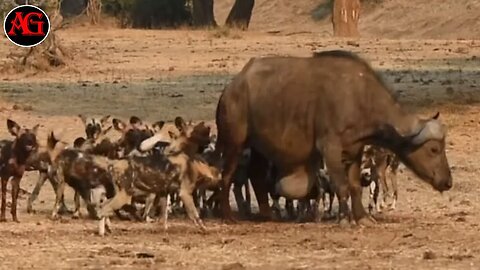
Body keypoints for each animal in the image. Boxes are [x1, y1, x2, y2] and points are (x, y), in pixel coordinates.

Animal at [216, 50, 452, 226]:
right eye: (434, 149)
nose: (448, 181)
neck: (359, 97)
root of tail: (232, 87)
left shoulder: (355, 150)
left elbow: (355, 186)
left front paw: (362, 217)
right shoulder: (330, 148)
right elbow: (342, 186)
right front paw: (345, 219)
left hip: (259, 148)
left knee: (256, 175)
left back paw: (268, 215)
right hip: (234, 142)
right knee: (226, 175)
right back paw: (228, 215)